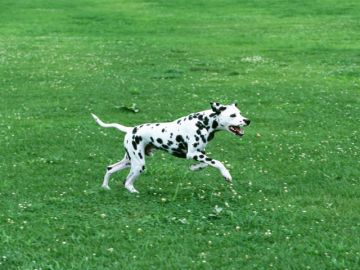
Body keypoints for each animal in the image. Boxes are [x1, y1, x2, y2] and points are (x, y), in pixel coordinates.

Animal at [92, 102, 250, 193]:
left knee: (110, 168)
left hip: (129, 161)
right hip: (138, 164)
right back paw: (132, 191)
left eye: (240, 113)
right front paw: (226, 174)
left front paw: (194, 168)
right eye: (233, 115)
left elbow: (205, 164)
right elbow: (217, 162)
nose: (247, 120)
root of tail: (130, 129)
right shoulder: (192, 153)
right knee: (127, 182)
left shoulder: (200, 153)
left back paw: (105, 187)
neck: (203, 122)